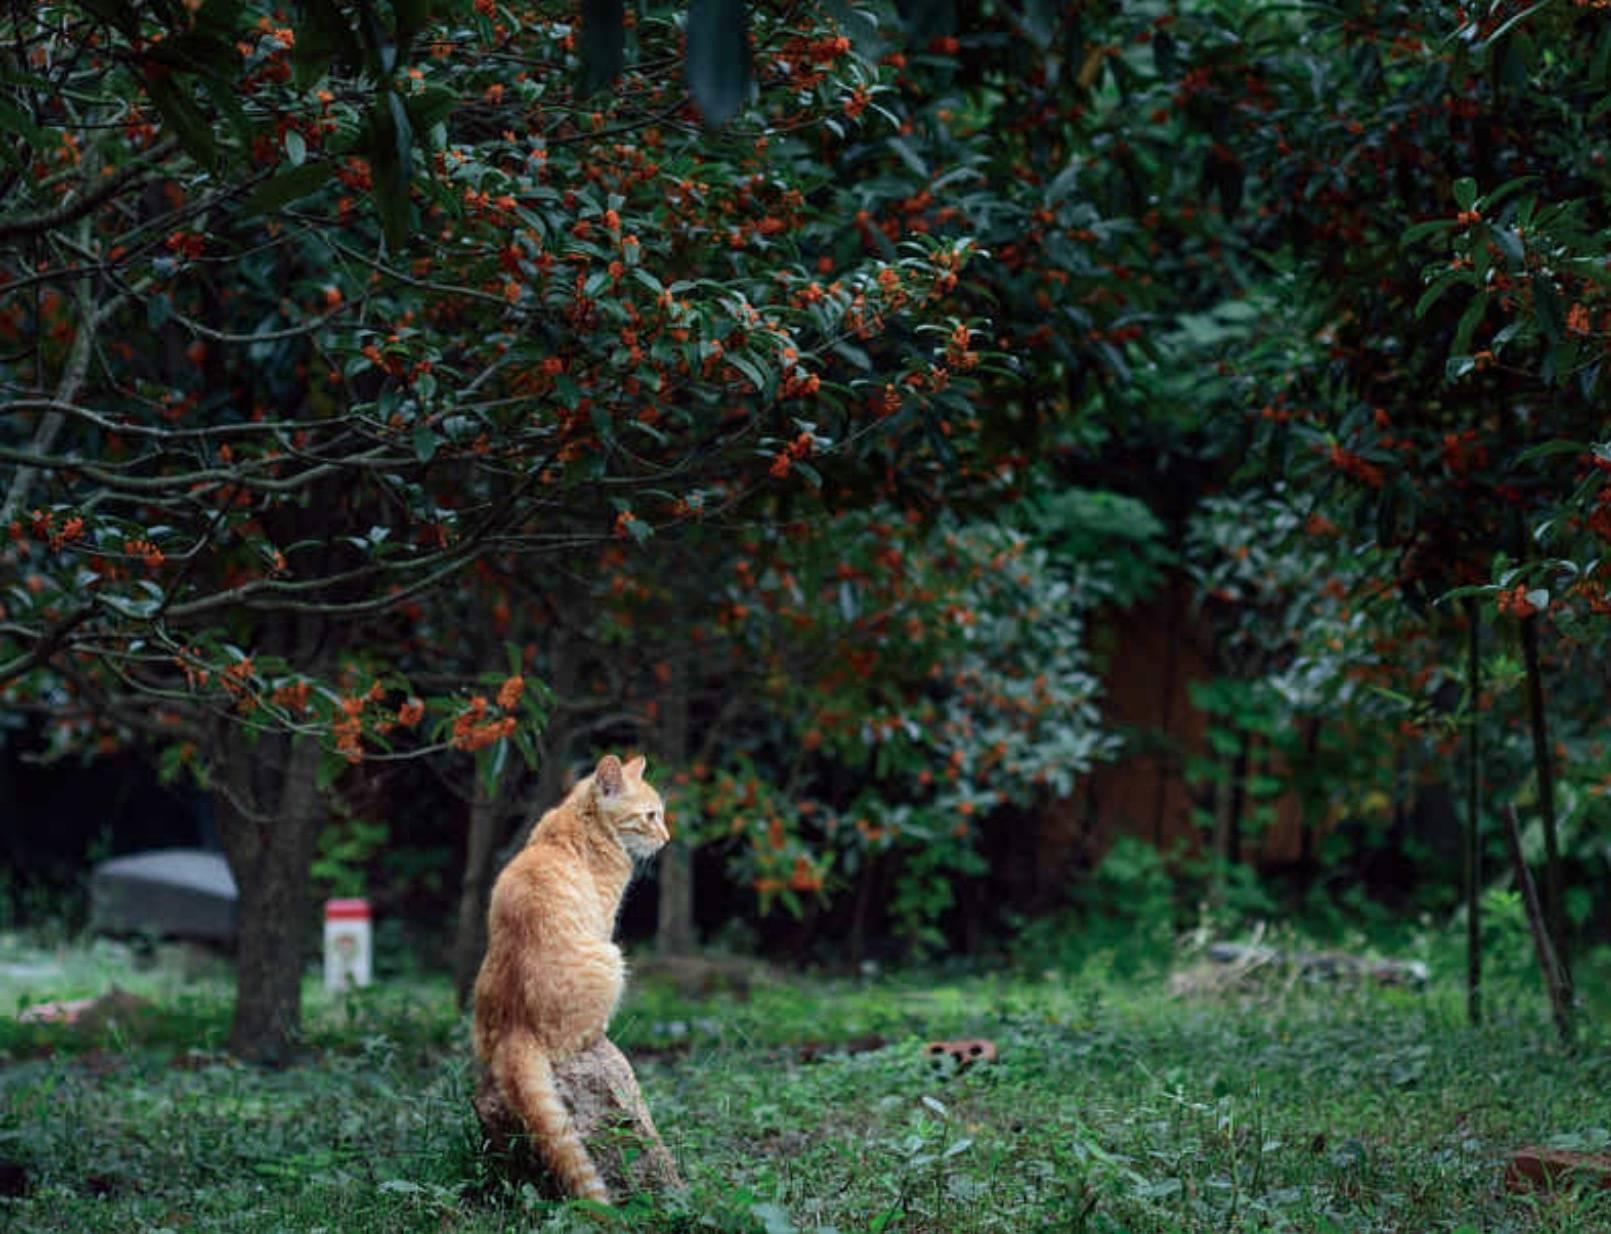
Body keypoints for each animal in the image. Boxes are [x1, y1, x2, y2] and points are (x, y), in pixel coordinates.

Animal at [470, 753, 670, 1211]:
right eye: (650, 816)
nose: (667, 838)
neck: (581, 821)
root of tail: (516, 1027)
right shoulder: (606, 925)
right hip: (612, 958)